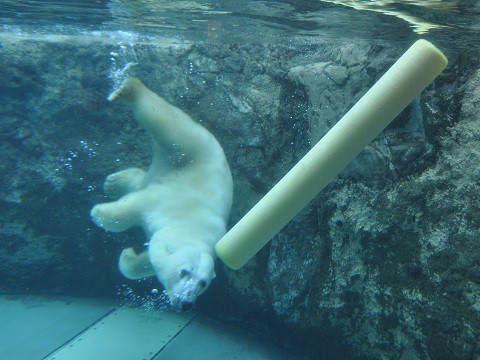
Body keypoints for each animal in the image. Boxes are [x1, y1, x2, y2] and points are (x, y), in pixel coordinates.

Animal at [91, 79, 233, 312]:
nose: (186, 303)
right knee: (160, 117)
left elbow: (146, 262)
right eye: (184, 271)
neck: (193, 225)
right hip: (188, 146)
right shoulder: (166, 200)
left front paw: (127, 255)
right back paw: (128, 89)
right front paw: (98, 213)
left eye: (203, 283)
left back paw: (113, 183)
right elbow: (132, 207)